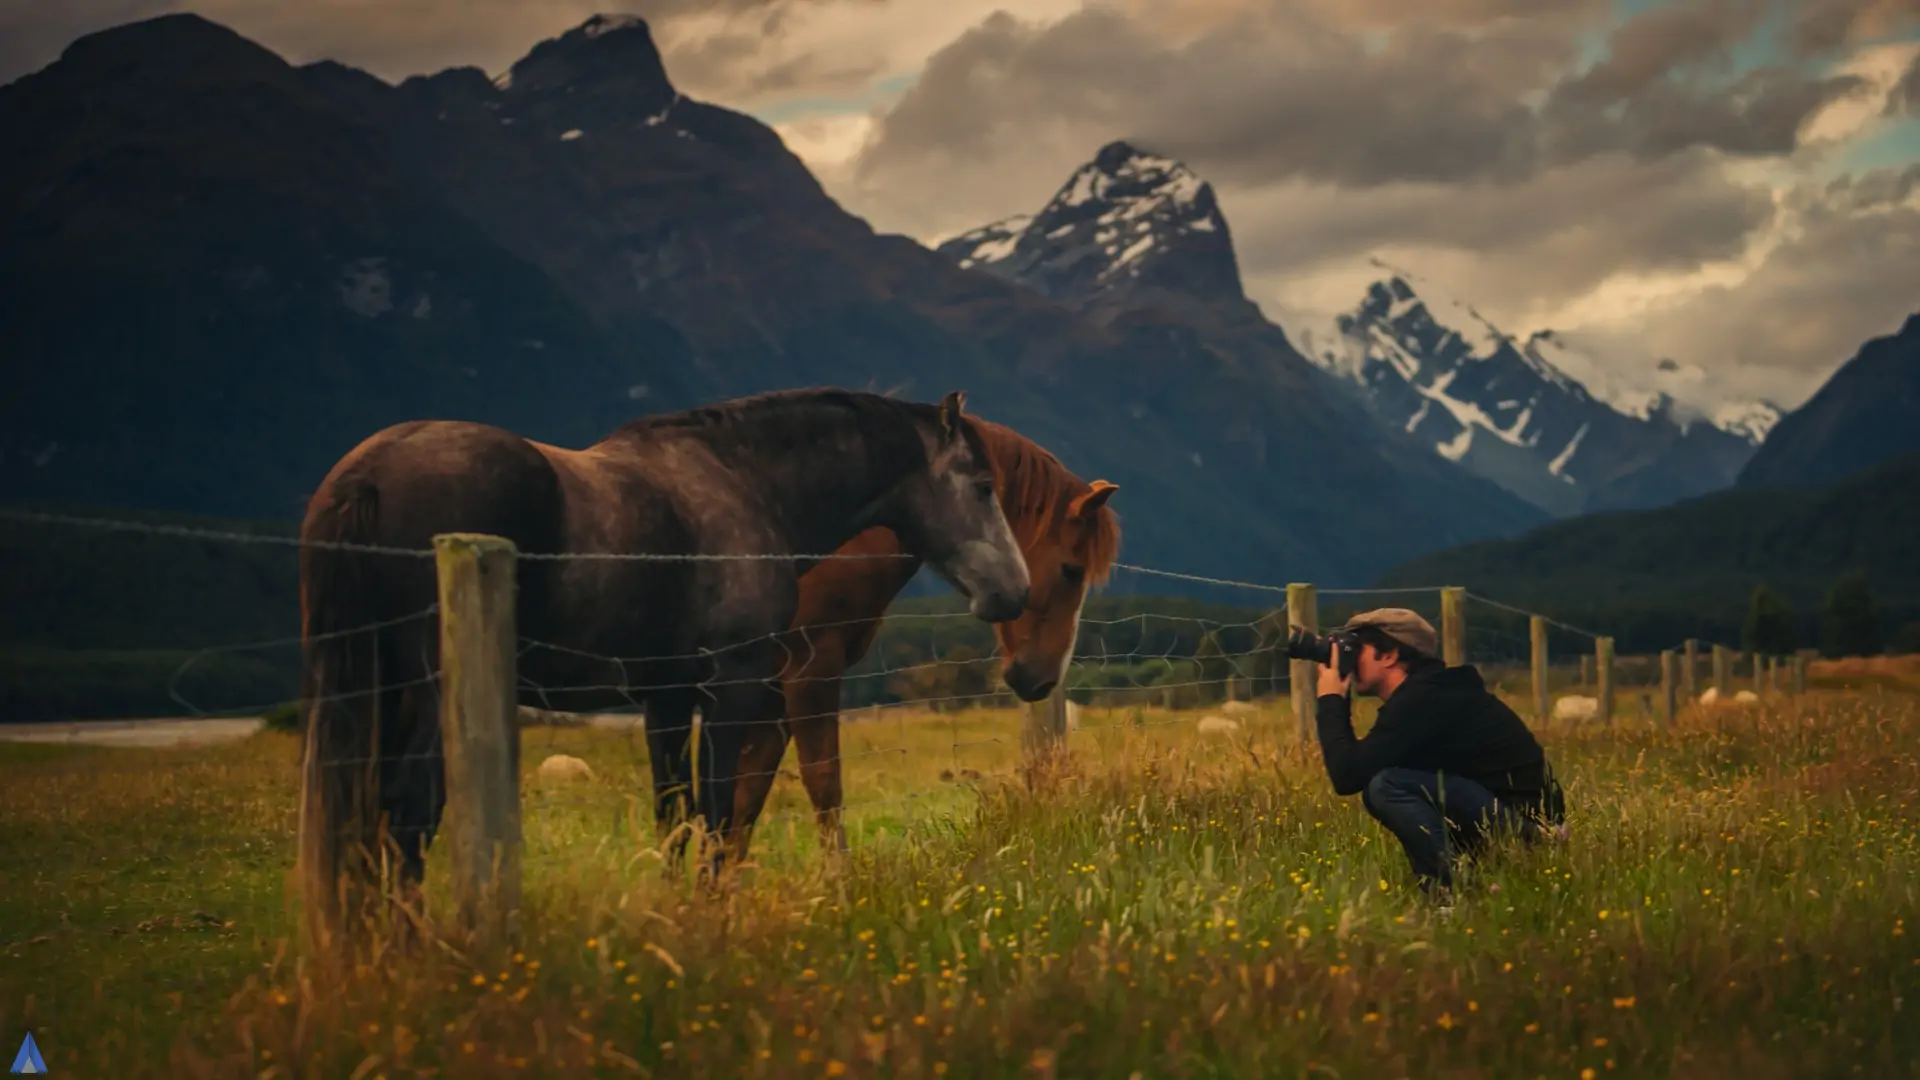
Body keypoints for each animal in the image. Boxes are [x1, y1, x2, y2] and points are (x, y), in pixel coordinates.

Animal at [291, 384, 1029, 941]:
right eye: (982, 486)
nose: (1014, 591)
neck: (744, 483)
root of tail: (368, 474)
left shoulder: (665, 697)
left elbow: (674, 817)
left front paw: (676, 918)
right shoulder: (730, 688)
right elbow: (718, 814)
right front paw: (712, 919)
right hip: (423, 696)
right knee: (407, 808)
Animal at [721, 413, 1121, 857]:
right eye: (1072, 570)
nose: (1045, 678)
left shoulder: (774, 689)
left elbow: (746, 801)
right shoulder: (811, 667)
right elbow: (823, 786)